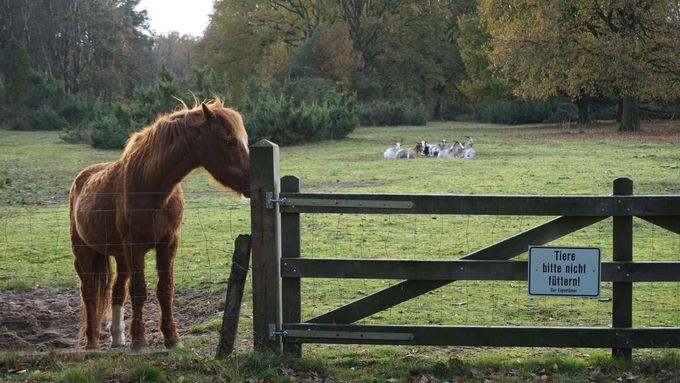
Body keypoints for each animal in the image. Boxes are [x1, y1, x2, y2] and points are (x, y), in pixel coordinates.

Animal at [69, 100, 251, 352]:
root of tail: (82, 177)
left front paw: (172, 339)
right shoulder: (134, 246)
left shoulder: (168, 242)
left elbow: (165, 290)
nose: (252, 180)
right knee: (89, 294)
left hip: (121, 257)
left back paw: (118, 338)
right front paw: (139, 342)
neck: (151, 186)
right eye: (230, 141)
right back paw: (93, 344)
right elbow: (139, 292)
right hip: (85, 253)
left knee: (117, 291)